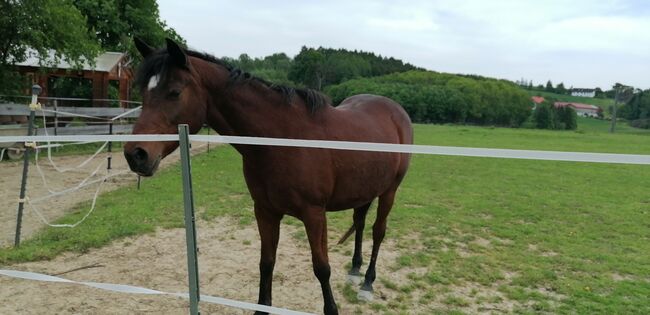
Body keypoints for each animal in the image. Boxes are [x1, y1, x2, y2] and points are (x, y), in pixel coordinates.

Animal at [123, 38, 410, 314]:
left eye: (174, 92)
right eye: (144, 93)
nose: (135, 154)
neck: (281, 140)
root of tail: (396, 111)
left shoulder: (314, 214)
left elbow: (321, 268)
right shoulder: (265, 211)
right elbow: (266, 263)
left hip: (390, 191)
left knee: (378, 231)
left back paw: (368, 282)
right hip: (364, 191)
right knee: (360, 224)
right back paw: (354, 270)